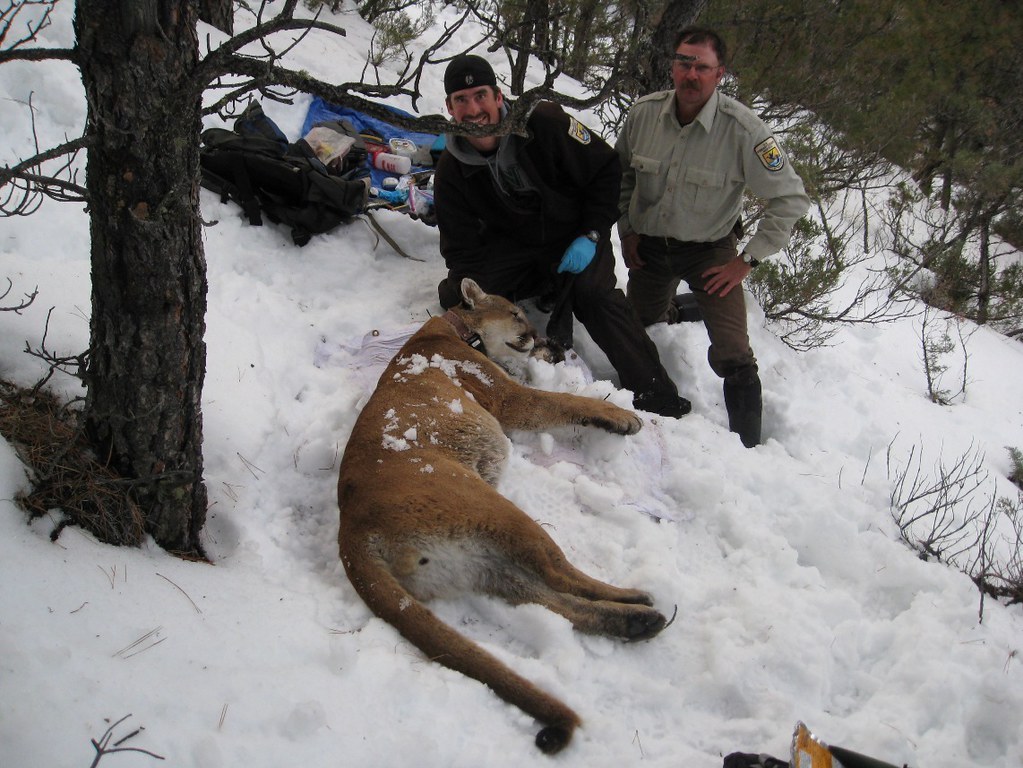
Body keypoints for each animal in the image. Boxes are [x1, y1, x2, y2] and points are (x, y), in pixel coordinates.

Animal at [337, 278, 668, 754]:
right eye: (515, 313)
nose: (537, 336)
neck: (456, 330)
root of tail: (351, 528)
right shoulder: (509, 397)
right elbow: (562, 399)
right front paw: (621, 417)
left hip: (479, 561)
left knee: (551, 599)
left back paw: (635, 621)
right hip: (498, 512)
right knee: (561, 574)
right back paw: (637, 601)